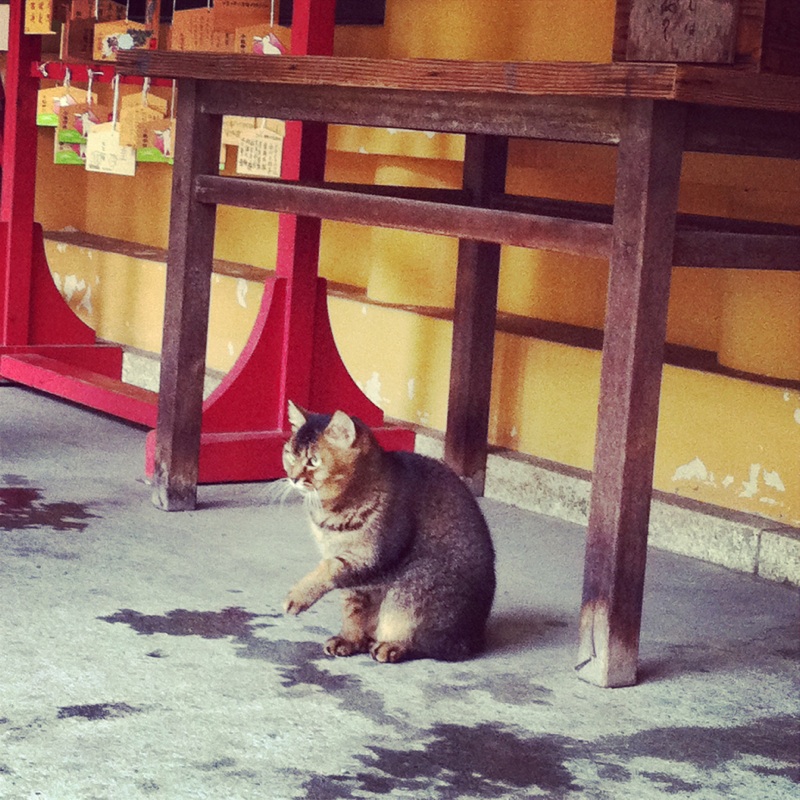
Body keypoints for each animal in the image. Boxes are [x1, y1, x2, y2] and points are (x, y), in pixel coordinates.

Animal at [282, 400, 494, 664]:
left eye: (313, 460)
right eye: (290, 454)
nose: (292, 478)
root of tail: (475, 637)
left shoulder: (374, 554)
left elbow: (328, 569)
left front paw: (298, 595)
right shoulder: (353, 578)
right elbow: (352, 609)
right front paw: (349, 639)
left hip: (414, 587)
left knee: (433, 646)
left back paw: (392, 646)